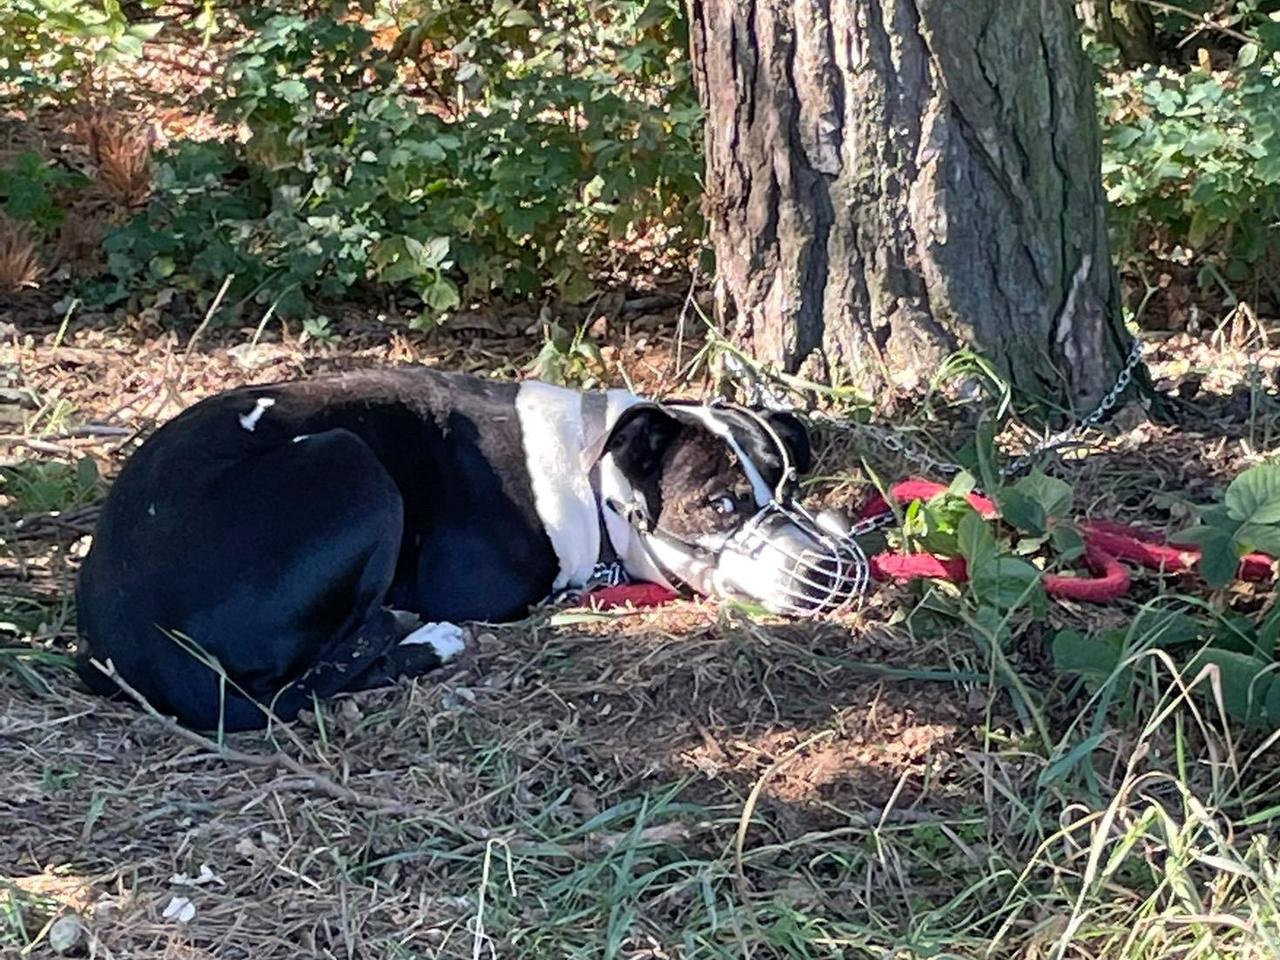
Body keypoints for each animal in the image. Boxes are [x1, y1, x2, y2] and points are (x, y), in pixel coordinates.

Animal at [74, 368, 865, 727]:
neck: (597, 475)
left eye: (790, 484)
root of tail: (134, 638)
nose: (827, 571)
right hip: (351, 463)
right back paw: (426, 640)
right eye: (721, 504)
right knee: (315, 678)